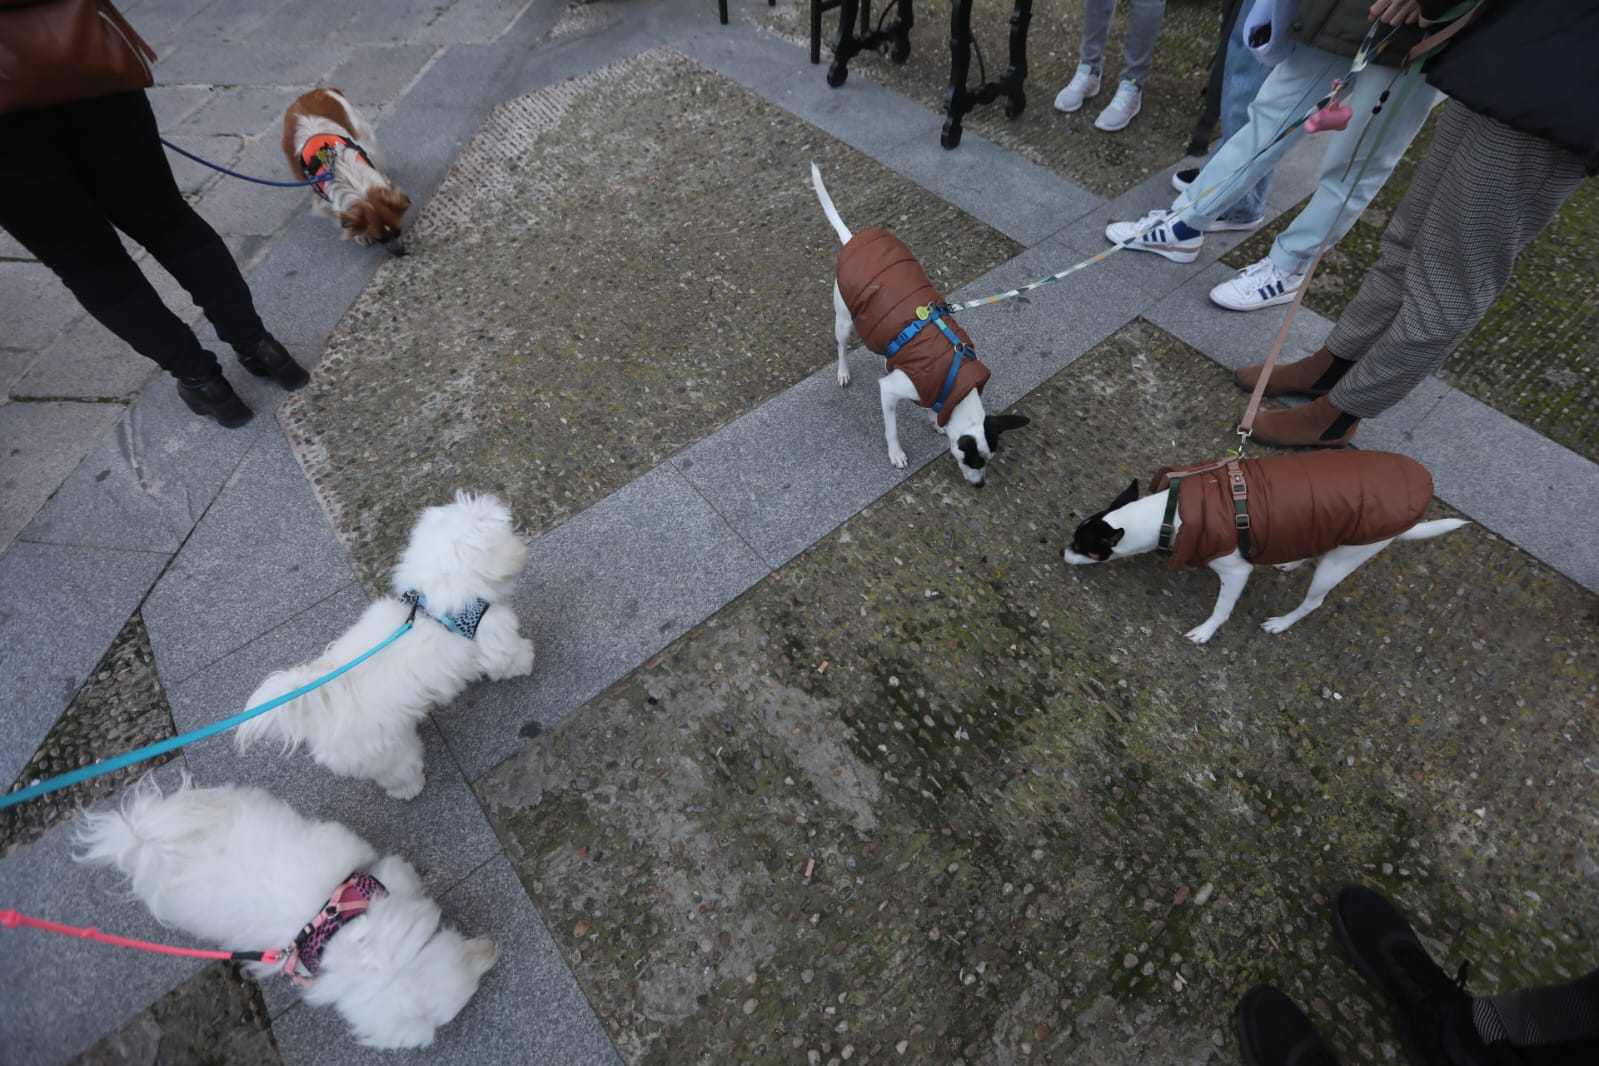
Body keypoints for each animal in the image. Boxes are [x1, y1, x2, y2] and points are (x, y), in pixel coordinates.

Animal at [238, 489, 537, 795]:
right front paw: (527, 660)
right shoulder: (491, 635)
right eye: (507, 529)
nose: (520, 532)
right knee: (398, 772)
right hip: (388, 753)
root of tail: (323, 715)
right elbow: (508, 658)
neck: (434, 594)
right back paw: (410, 788)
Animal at [812, 163, 1023, 489]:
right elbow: (892, 429)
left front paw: (934, 421)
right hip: (844, 320)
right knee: (842, 347)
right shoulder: (889, 391)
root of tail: (852, 240)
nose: (979, 486)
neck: (955, 378)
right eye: (971, 460)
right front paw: (896, 453)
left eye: (987, 461)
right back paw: (844, 372)